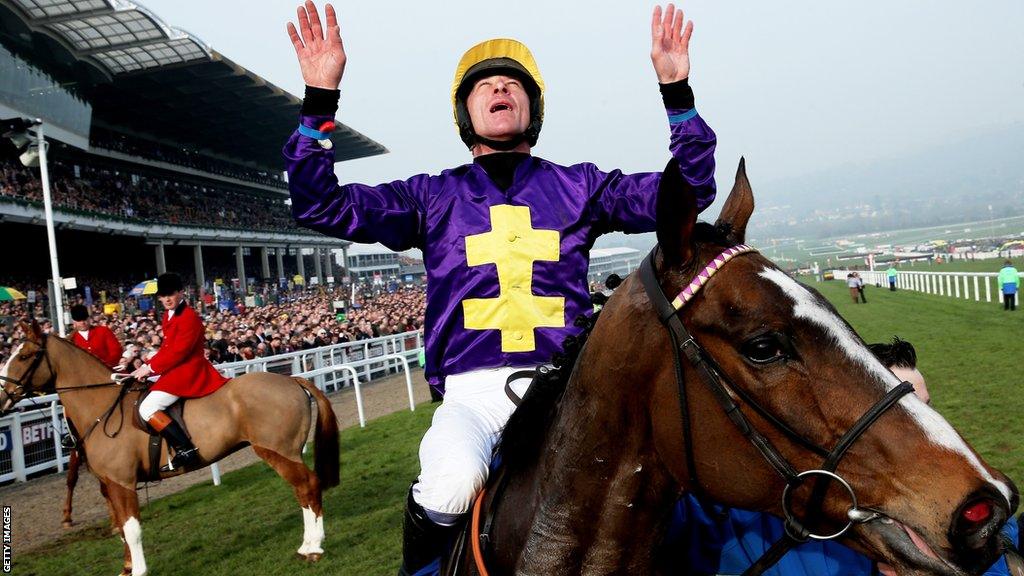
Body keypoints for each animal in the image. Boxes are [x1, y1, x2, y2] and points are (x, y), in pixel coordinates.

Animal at [0, 327, 339, 573]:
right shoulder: (110, 485)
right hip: (286, 453)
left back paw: (313, 548)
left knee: (308, 486)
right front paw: (127, 568)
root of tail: (292, 381)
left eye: (25, 355)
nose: (3, 395)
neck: (101, 407)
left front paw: (138, 571)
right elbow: (121, 528)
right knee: (303, 491)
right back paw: (308, 545)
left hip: (278, 452)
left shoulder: (122, 483)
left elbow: (132, 529)